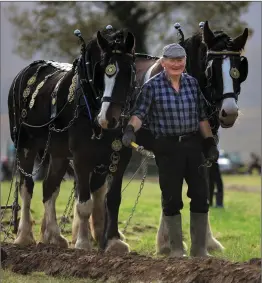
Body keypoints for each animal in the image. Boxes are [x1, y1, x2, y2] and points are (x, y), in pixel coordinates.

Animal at [7, 26, 135, 251]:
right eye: (102, 70)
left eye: (129, 72)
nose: (108, 118)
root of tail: (25, 72)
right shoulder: (82, 158)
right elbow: (84, 203)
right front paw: (83, 242)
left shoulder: (119, 158)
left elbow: (112, 201)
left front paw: (113, 242)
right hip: (25, 146)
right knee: (26, 187)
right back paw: (24, 236)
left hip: (58, 154)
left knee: (49, 188)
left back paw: (54, 236)